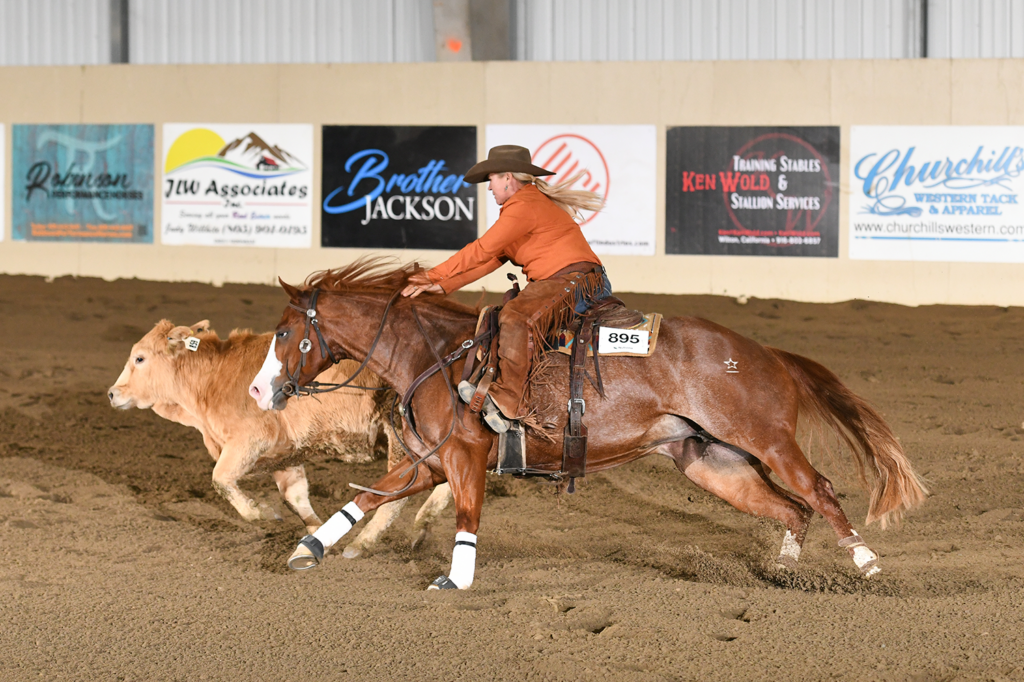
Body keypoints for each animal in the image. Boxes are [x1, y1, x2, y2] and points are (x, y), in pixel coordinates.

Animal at [249, 258, 929, 585]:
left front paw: (456, 580)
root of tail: (767, 352)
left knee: (819, 491)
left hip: (767, 439)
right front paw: (306, 550)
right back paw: (782, 572)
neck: (435, 355)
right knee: (791, 510)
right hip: (712, 461)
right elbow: (365, 501)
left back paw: (867, 564)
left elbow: (467, 516)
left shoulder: (465, 458)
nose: (258, 389)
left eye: (283, 332)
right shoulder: (427, 464)